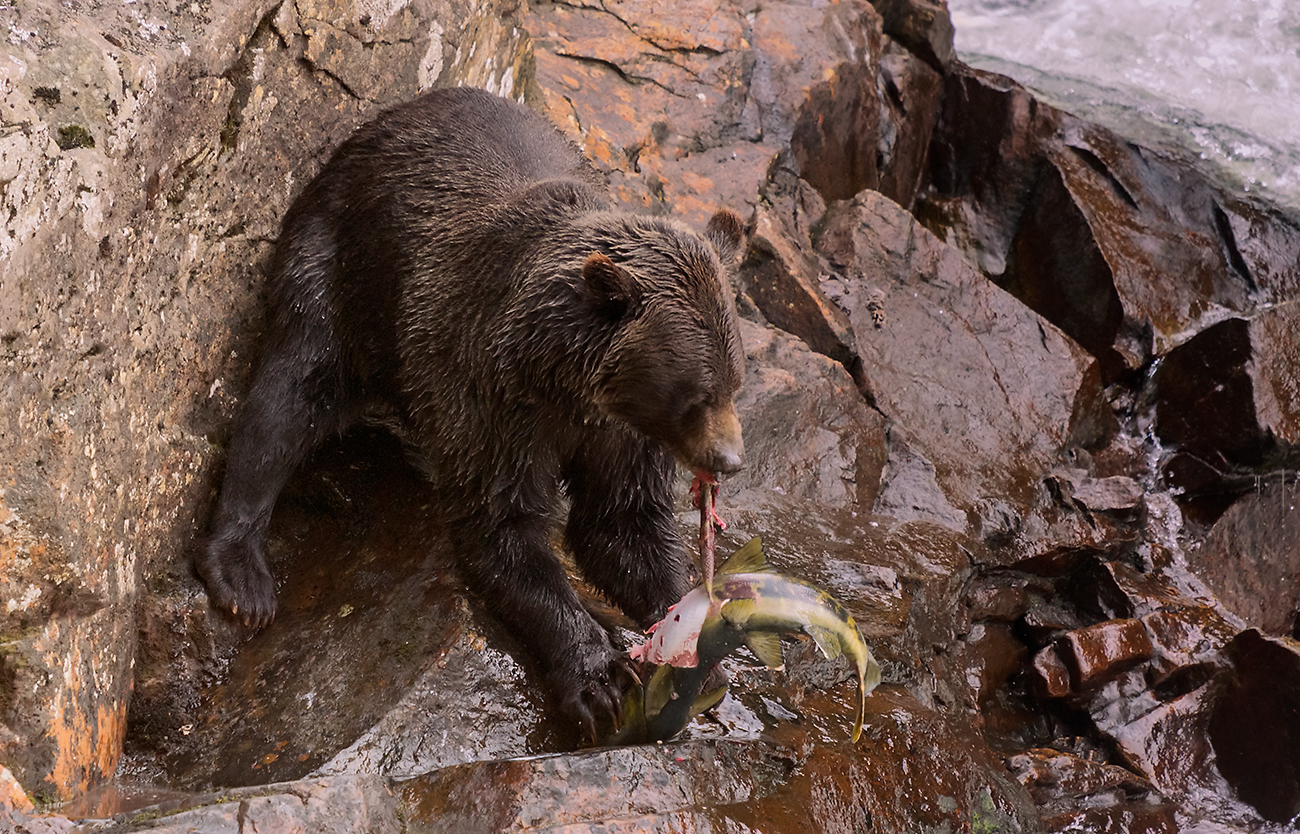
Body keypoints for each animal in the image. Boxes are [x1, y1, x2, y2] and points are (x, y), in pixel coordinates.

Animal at [200, 85, 754, 732]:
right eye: (699, 392)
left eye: (735, 381)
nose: (729, 459)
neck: (565, 386)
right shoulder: (490, 398)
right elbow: (503, 530)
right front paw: (598, 680)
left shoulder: (619, 437)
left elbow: (623, 528)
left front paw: (696, 650)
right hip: (339, 266)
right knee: (286, 397)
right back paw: (243, 576)